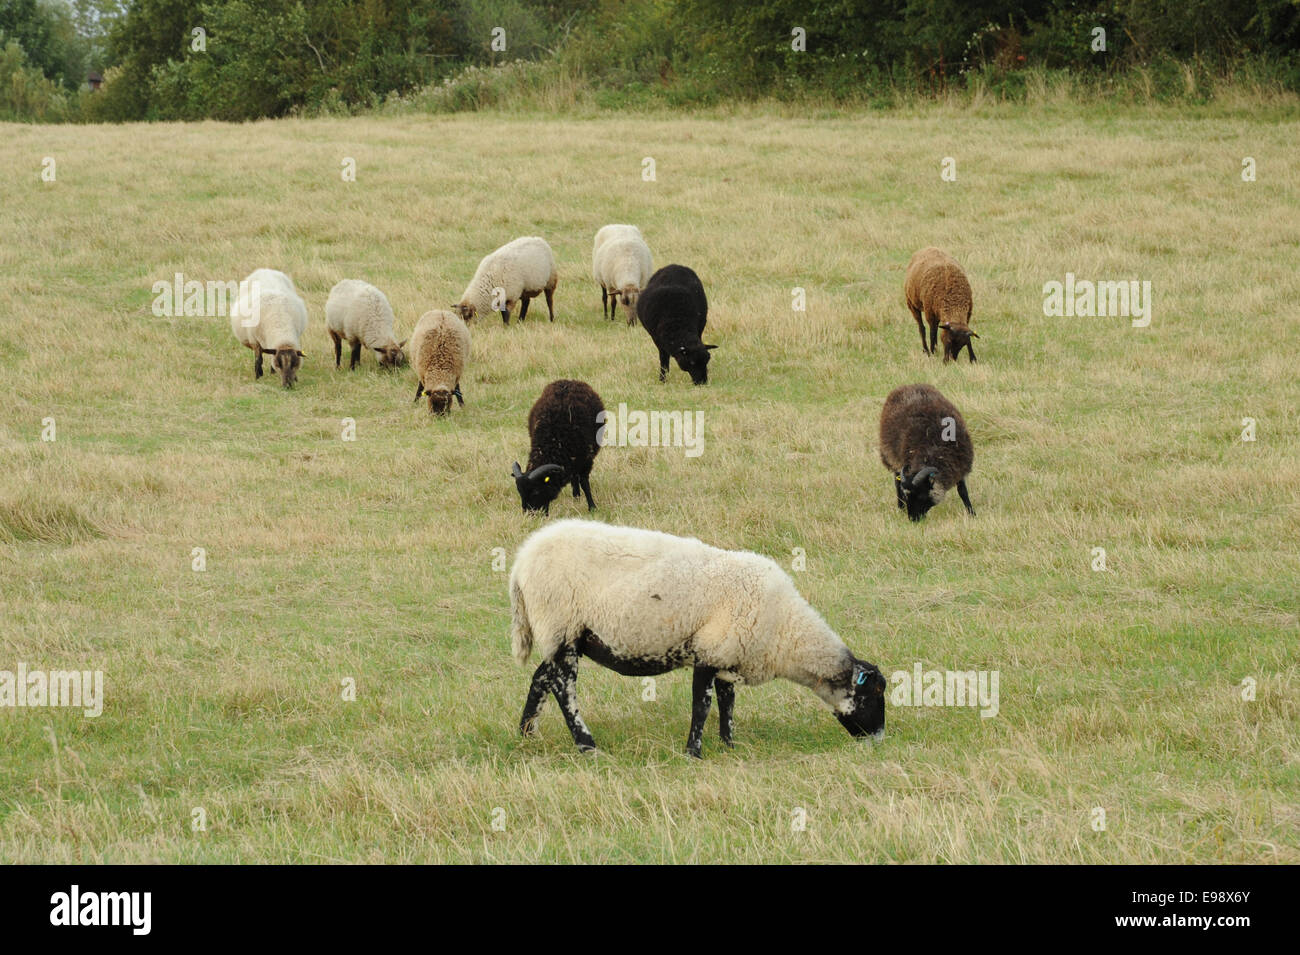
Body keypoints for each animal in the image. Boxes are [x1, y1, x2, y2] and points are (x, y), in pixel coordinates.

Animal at [504, 519, 883, 758]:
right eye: (875, 694)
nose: (879, 739)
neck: (786, 631)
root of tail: (521, 563)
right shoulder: (708, 651)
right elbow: (702, 706)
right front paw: (693, 753)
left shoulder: (730, 653)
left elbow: (728, 703)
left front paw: (730, 745)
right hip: (561, 624)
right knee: (564, 688)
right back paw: (586, 745)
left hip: (560, 634)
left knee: (542, 677)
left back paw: (527, 733)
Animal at [512, 382, 603, 514]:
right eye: (520, 491)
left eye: (536, 491)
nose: (530, 514)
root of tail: (568, 381)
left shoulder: (586, 459)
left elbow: (584, 483)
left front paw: (592, 507)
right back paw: (576, 497)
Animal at [873, 382, 977, 522]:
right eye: (907, 496)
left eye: (921, 495)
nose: (913, 520)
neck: (933, 450)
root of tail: (907, 386)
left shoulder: (959, 467)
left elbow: (963, 491)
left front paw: (972, 513)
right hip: (891, 456)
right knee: (896, 481)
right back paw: (900, 508)